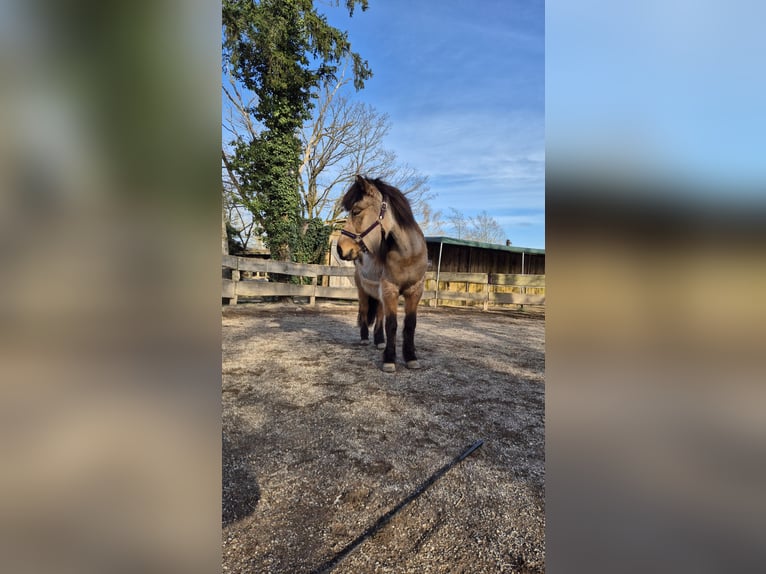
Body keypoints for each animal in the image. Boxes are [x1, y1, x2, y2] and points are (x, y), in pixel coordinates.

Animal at [337, 175, 428, 372]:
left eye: (356, 211)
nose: (340, 249)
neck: (407, 254)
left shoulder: (414, 291)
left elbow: (410, 324)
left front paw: (411, 357)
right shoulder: (390, 290)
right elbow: (392, 324)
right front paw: (389, 359)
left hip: (378, 294)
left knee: (378, 315)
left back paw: (379, 341)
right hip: (363, 292)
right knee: (364, 312)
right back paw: (365, 339)